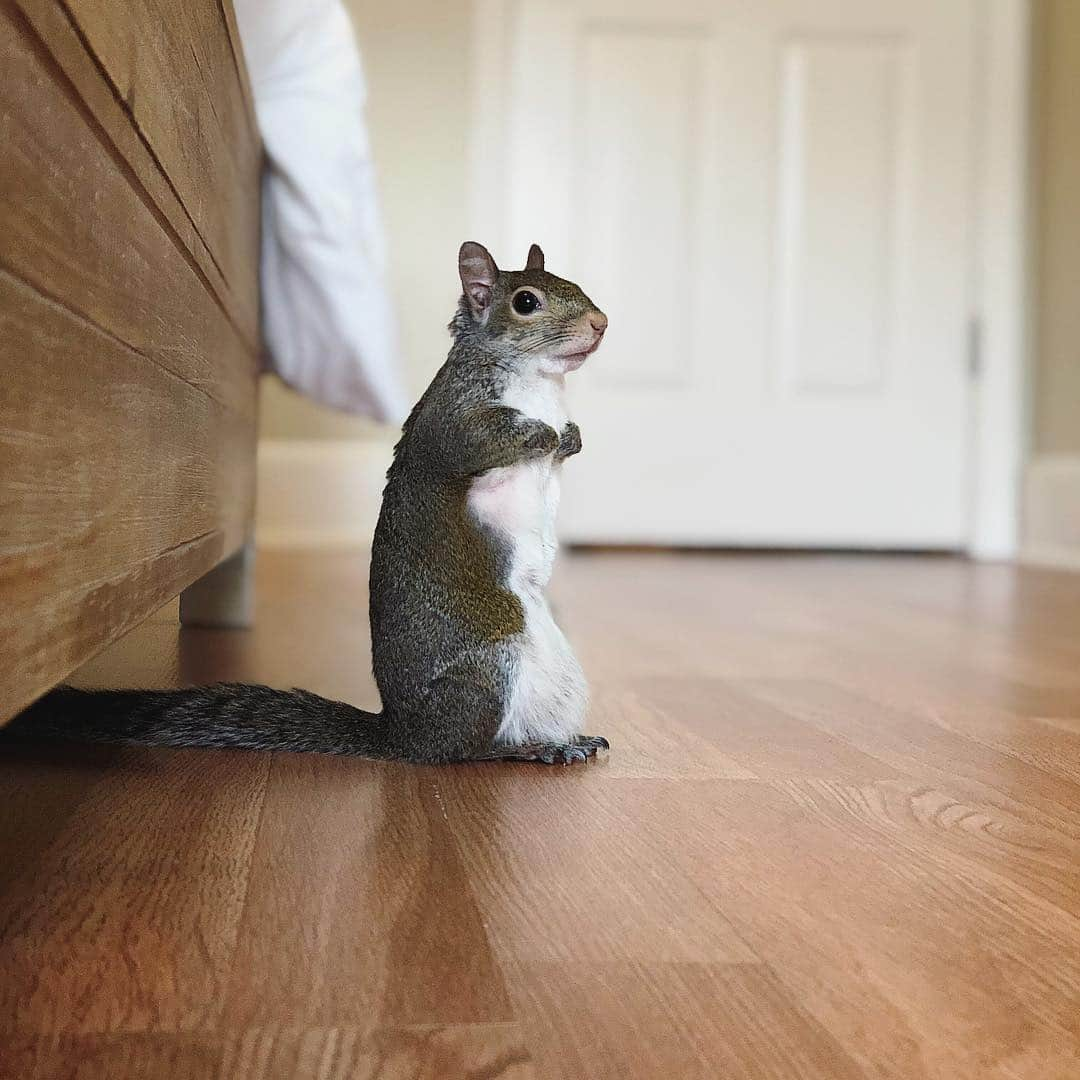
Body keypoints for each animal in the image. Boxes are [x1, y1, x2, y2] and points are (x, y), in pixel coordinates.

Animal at [10, 245, 609, 768]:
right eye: (526, 301)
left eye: (575, 283)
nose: (601, 322)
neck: (540, 384)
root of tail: (402, 734)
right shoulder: (454, 421)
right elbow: (482, 442)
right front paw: (545, 435)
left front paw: (571, 436)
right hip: (487, 672)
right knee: (458, 752)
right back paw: (523, 750)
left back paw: (563, 739)